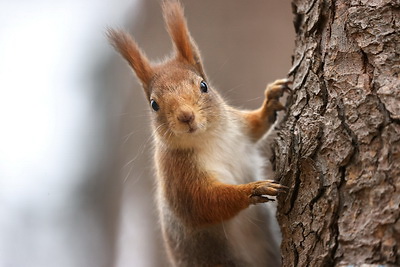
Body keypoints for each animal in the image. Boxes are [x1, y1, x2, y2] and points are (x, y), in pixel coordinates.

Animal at [108, 1, 292, 266]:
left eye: (204, 86)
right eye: (154, 104)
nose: (186, 116)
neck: (210, 138)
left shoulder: (238, 129)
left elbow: (256, 126)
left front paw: (271, 101)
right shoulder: (178, 177)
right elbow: (205, 204)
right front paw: (254, 189)